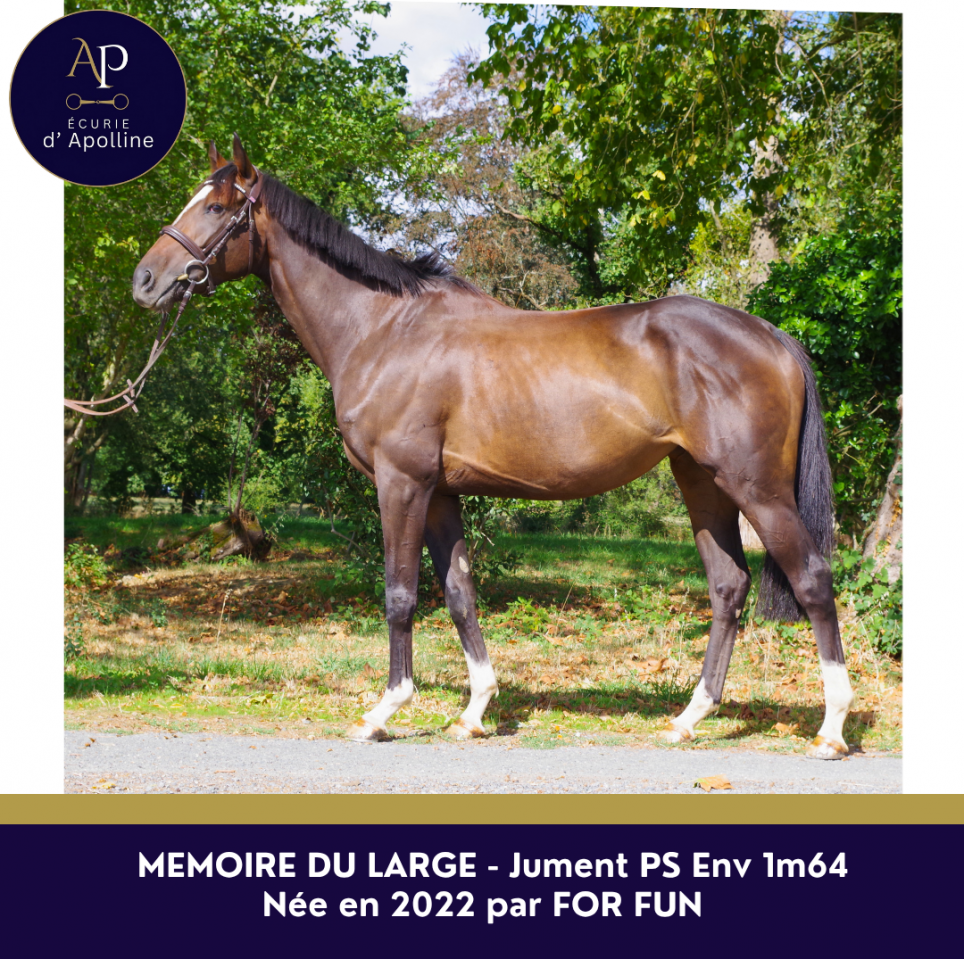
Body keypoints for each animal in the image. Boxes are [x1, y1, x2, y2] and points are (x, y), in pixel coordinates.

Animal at [133, 136, 853, 760]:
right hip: (701, 481)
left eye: (217, 207)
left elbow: (400, 593)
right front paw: (475, 711)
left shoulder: (401, 482)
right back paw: (689, 717)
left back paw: (831, 727)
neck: (384, 329)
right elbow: (458, 591)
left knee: (813, 580)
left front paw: (384, 710)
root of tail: (773, 336)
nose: (145, 280)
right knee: (728, 587)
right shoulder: (441, 492)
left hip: (757, 489)